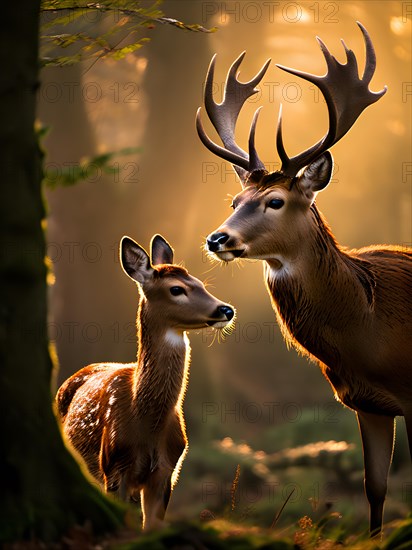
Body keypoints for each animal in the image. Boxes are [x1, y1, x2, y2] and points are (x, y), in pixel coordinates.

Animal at [56, 236, 235, 532]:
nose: (226, 309)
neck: (147, 423)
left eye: (200, 283)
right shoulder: (114, 468)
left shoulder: (168, 470)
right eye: (176, 289)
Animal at [196, 23, 412, 536]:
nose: (217, 238)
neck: (370, 327)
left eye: (275, 201)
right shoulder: (369, 404)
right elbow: (375, 490)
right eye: (235, 199)